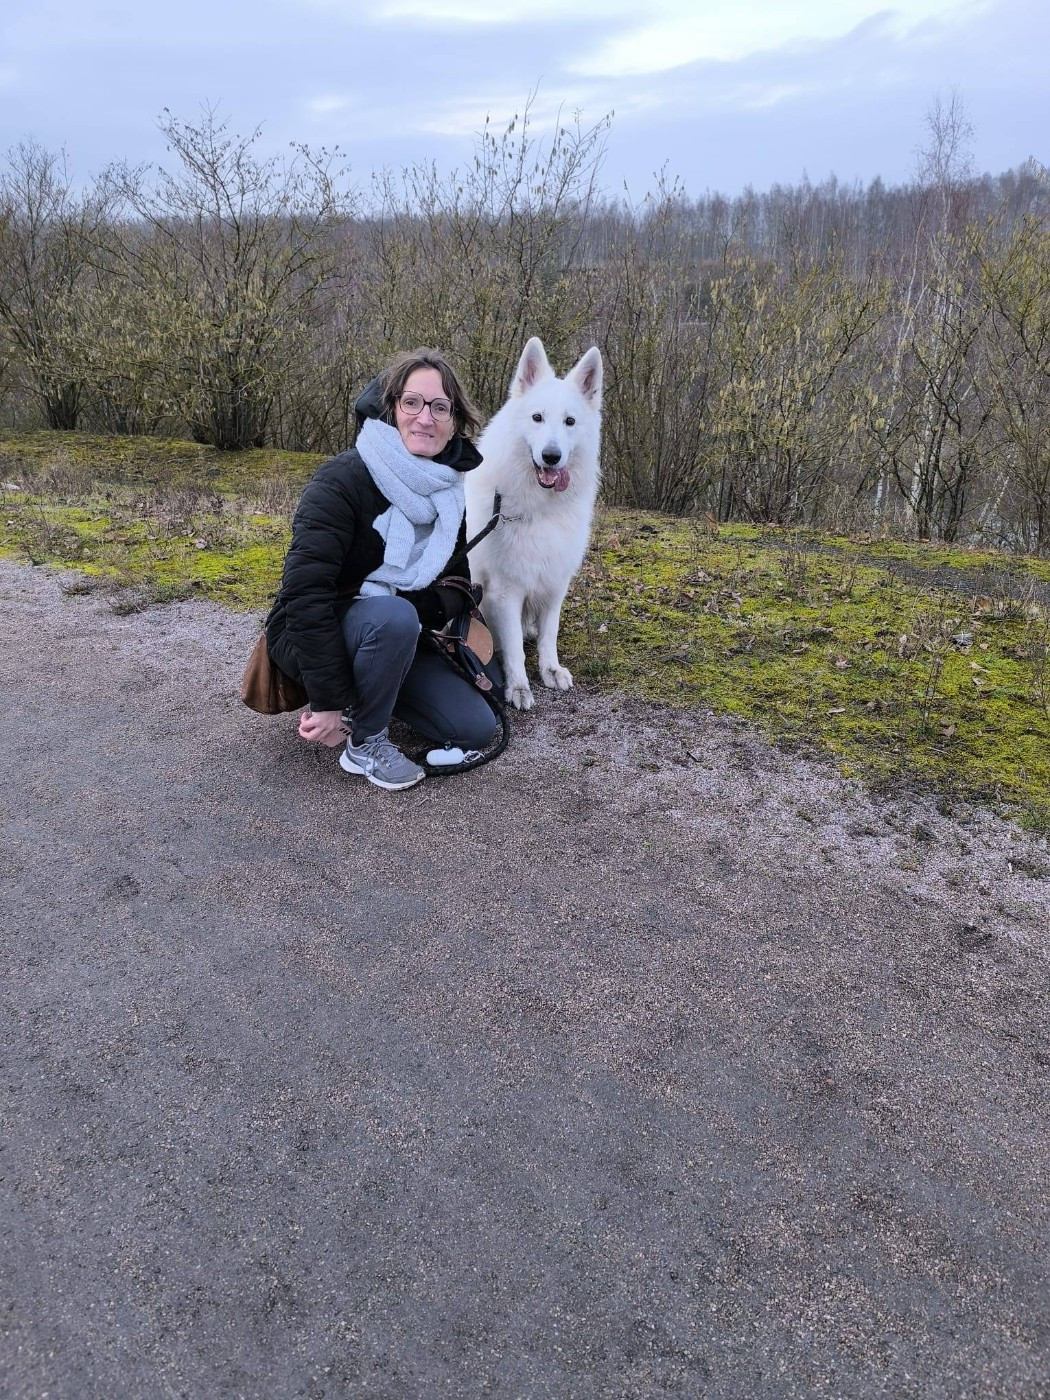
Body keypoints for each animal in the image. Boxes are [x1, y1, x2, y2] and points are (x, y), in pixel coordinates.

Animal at [464, 337, 603, 711]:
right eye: (537, 418)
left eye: (570, 421)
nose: (551, 456)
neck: (540, 507)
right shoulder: (505, 590)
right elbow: (513, 648)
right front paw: (518, 687)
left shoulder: (556, 582)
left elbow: (548, 634)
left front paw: (550, 669)